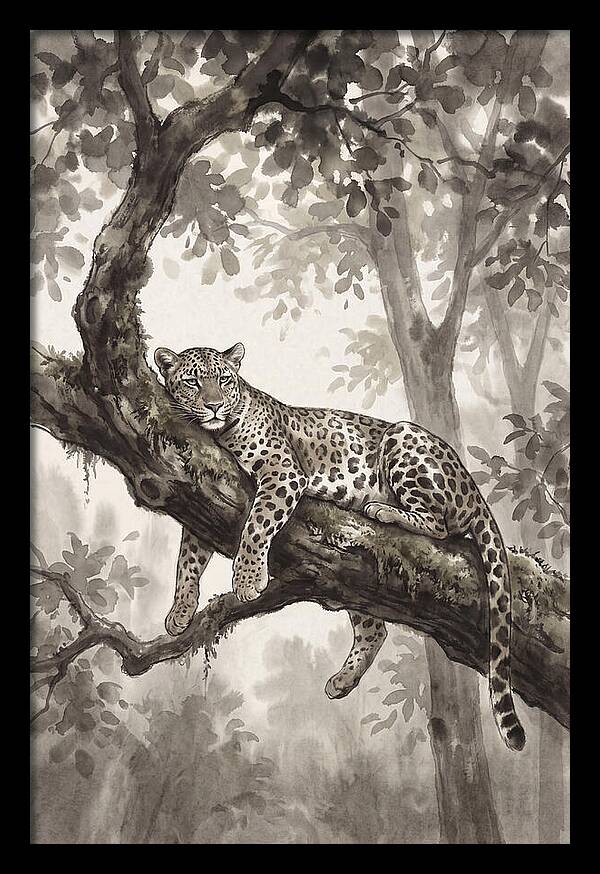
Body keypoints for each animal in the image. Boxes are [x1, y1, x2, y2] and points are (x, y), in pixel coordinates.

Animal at [154, 342, 526, 752]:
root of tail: (473, 488)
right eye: (192, 381)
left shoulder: (283, 472)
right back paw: (342, 681)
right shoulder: (205, 491)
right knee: (374, 629)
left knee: (439, 525)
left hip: (403, 438)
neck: (220, 434)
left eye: (223, 380)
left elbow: (256, 525)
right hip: (353, 581)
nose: (215, 406)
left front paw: (249, 580)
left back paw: (383, 509)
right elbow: (188, 558)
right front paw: (180, 611)